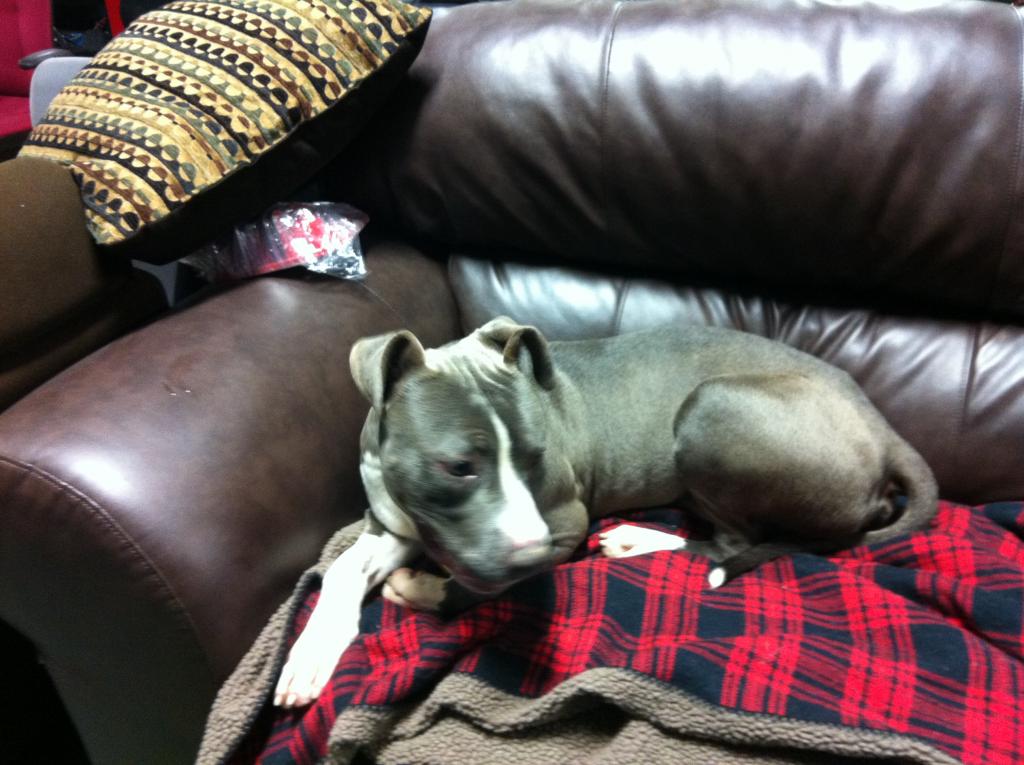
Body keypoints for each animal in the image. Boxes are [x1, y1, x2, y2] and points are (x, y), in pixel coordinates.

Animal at [274, 317, 937, 707]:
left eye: (537, 454)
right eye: (458, 467)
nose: (532, 555)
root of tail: (884, 429)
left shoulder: (560, 525)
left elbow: (479, 586)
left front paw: (424, 590)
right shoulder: (397, 522)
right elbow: (342, 569)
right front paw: (313, 651)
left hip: (712, 408)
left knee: (729, 543)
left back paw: (637, 540)